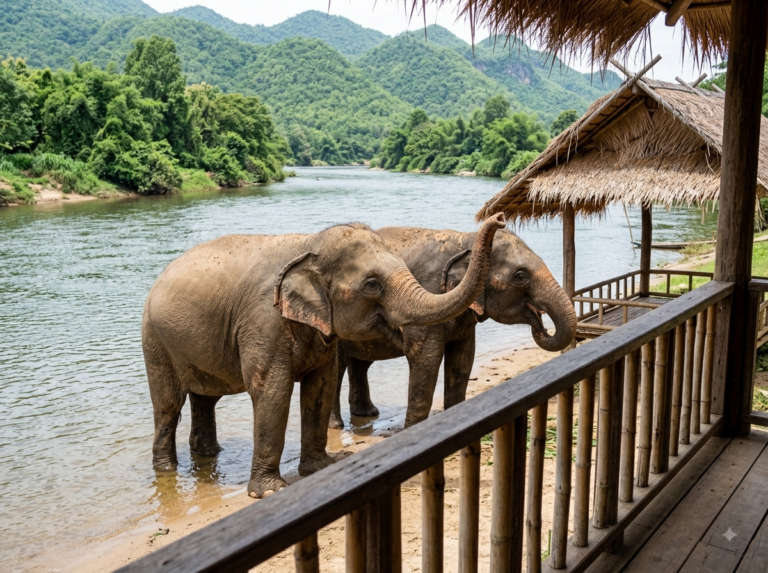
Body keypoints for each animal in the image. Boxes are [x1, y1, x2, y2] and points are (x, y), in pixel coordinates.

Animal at [142, 214, 504, 498]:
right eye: (372, 285)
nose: (499, 219)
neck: (309, 245)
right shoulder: (263, 321)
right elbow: (272, 391)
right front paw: (270, 492)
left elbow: (321, 385)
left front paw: (320, 468)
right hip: (155, 341)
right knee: (168, 405)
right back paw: (167, 470)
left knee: (205, 397)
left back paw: (207, 454)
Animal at [331, 227, 576, 429]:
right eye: (520, 276)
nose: (541, 325)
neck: (466, 239)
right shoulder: (426, 299)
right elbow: (427, 359)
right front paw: (412, 430)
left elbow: (463, 357)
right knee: (339, 366)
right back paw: (338, 424)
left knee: (360, 362)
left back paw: (367, 414)